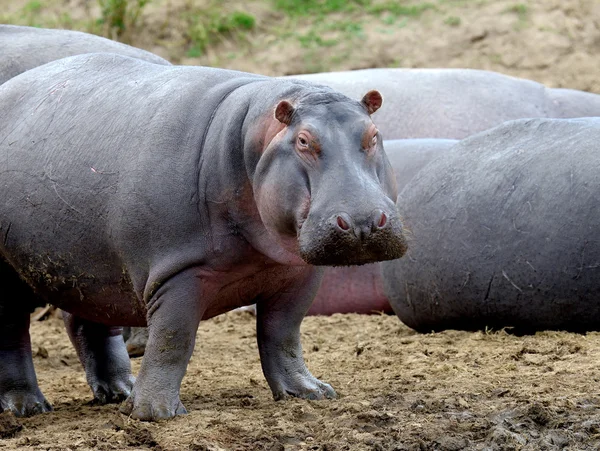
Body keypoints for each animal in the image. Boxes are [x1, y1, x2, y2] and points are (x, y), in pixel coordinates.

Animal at [0, 54, 408, 422]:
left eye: (373, 135)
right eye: (304, 141)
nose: (363, 222)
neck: (249, 141)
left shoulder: (299, 272)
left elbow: (283, 333)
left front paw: (310, 393)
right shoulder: (179, 271)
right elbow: (173, 339)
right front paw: (155, 414)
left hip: (89, 269)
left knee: (87, 323)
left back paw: (119, 392)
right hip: (11, 272)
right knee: (12, 334)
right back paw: (27, 408)